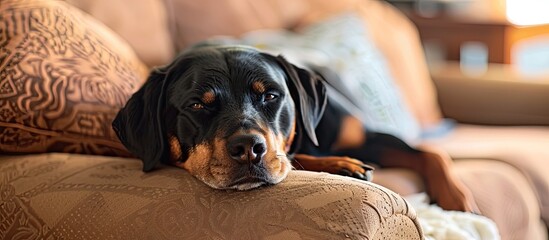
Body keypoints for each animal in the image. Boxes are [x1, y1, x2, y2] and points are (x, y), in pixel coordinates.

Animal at [113, 45, 478, 212]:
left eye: (270, 96)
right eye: (197, 106)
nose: (248, 149)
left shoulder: (369, 136)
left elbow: (432, 154)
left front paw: (458, 199)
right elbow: (294, 157)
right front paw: (342, 165)